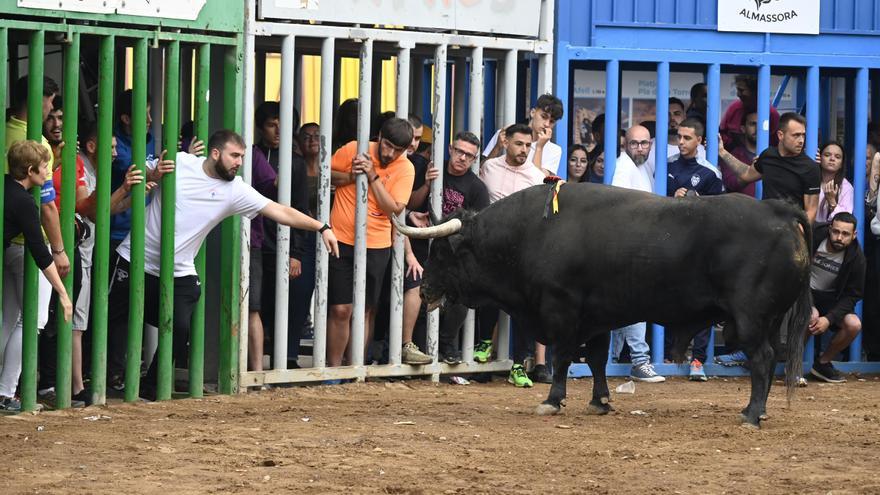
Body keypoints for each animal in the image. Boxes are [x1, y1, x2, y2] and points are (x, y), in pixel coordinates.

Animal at [398, 180, 812, 428]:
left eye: (441, 253)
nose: (426, 289)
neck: (532, 232)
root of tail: (778, 210)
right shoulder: (596, 317)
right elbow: (597, 358)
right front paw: (600, 401)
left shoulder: (561, 310)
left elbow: (563, 357)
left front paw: (553, 400)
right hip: (768, 320)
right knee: (767, 360)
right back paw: (754, 409)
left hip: (750, 319)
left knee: (762, 359)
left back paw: (752, 414)